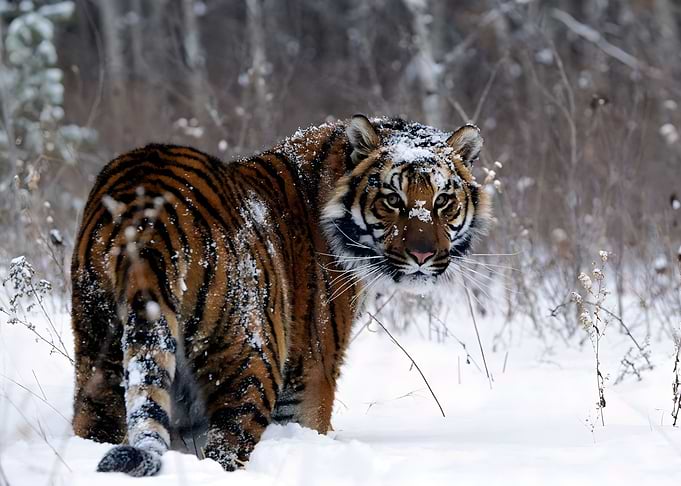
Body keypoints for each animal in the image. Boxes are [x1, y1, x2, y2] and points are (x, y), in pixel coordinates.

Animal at [70, 114, 490, 476]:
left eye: (442, 201)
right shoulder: (311, 374)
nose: (422, 256)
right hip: (251, 362)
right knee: (225, 448)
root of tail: (147, 214)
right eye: (392, 200)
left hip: (99, 352)